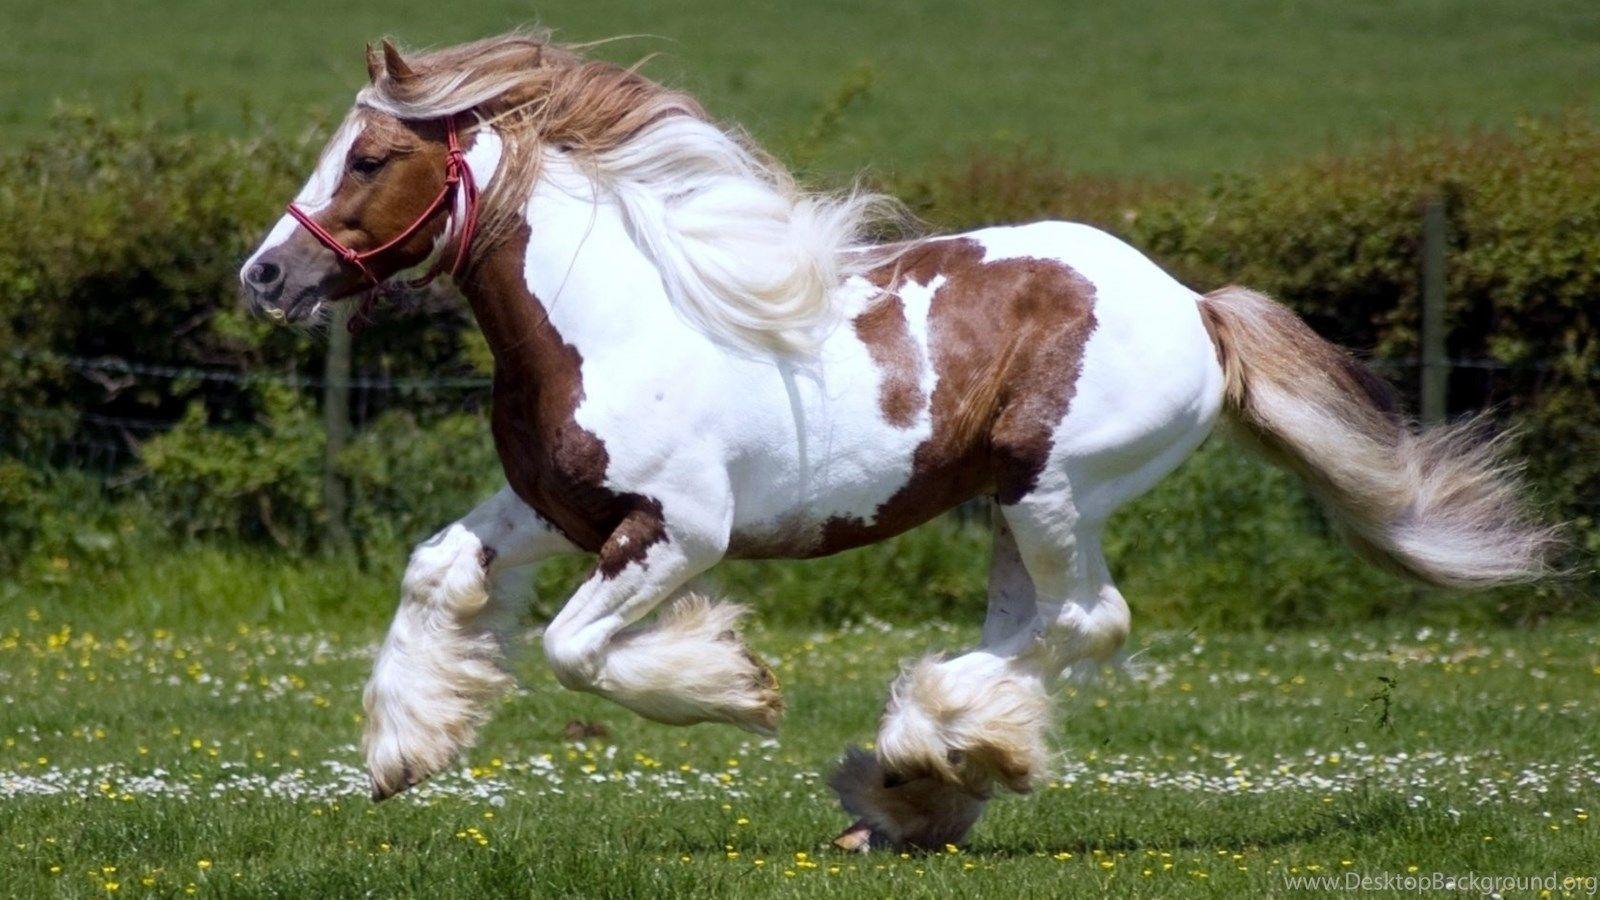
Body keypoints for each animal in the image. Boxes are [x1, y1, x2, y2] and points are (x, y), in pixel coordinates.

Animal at [239, 31, 1555, 850]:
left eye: (370, 157)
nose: (265, 276)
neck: (610, 317)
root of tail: (1194, 307)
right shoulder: (548, 509)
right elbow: (434, 573)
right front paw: (404, 752)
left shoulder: (677, 533)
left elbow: (572, 651)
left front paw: (735, 686)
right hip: (1011, 511)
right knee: (1036, 627)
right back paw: (915, 785)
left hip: (1052, 489)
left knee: (1087, 621)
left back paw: (922, 758)